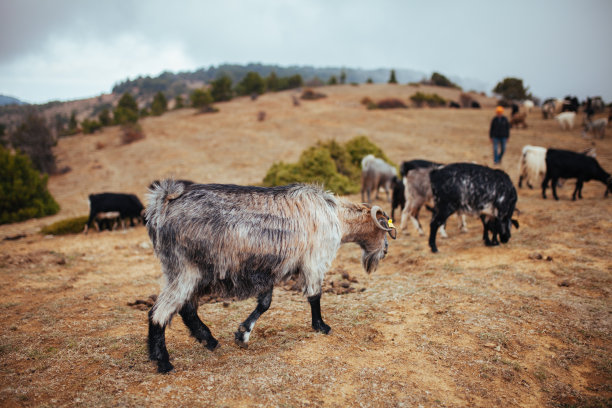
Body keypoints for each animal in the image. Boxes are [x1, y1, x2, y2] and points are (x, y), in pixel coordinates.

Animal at [147, 182, 396, 372]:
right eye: (384, 229)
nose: (385, 251)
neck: (335, 215)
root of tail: (163, 204)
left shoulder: (271, 270)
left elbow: (265, 303)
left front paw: (242, 334)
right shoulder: (314, 261)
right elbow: (314, 295)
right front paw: (321, 326)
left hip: (187, 273)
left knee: (185, 309)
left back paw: (207, 341)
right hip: (186, 270)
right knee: (160, 312)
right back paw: (164, 362)